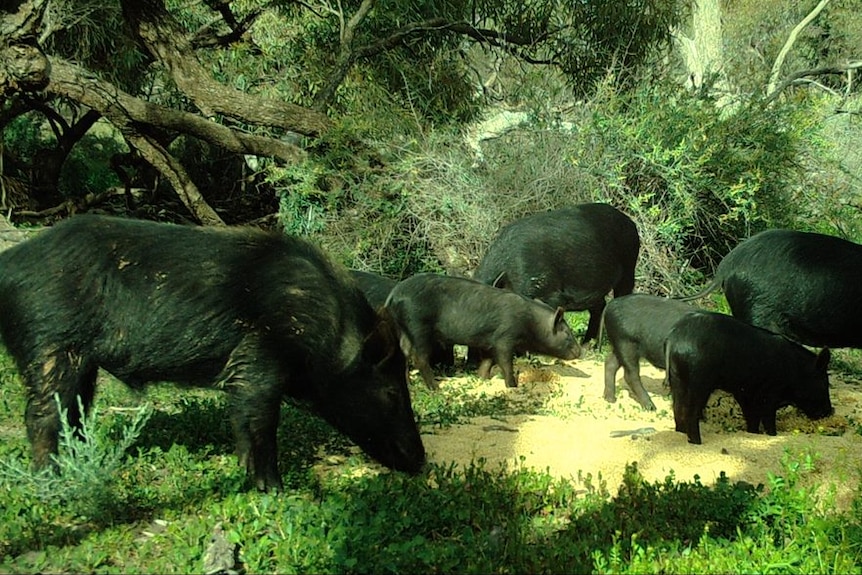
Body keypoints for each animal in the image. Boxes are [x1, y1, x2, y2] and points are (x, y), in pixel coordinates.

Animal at [0, 214, 426, 492]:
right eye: (392, 391)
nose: (422, 461)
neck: (326, 329)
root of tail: (10, 263)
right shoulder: (260, 355)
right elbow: (258, 419)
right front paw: (275, 490)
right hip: (50, 346)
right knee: (41, 417)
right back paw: (52, 480)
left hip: (80, 362)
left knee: (74, 414)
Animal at [386, 272, 580, 390]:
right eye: (567, 333)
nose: (581, 351)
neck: (531, 323)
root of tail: (394, 294)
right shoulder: (505, 338)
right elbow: (505, 363)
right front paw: (512, 386)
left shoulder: (489, 341)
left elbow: (488, 361)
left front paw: (483, 378)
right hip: (418, 327)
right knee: (419, 358)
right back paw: (436, 388)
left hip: (403, 329)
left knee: (403, 353)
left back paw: (410, 384)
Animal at [664, 310, 832, 446]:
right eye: (825, 383)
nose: (830, 411)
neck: (795, 371)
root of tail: (674, 339)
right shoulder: (770, 394)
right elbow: (769, 422)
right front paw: (772, 435)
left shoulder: (746, 394)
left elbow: (752, 420)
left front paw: (753, 434)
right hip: (699, 381)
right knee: (690, 412)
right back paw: (698, 443)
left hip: (677, 379)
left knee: (677, 409)